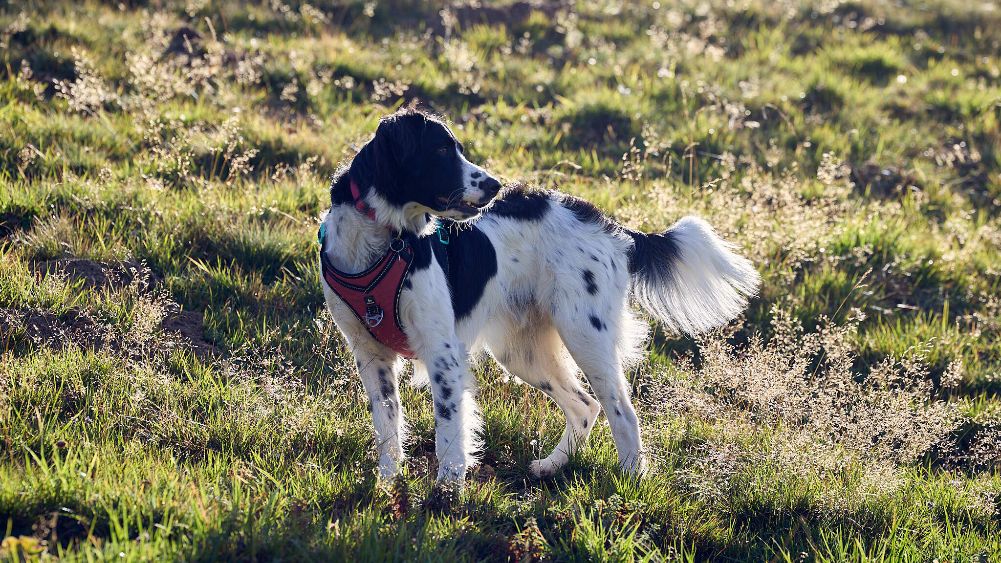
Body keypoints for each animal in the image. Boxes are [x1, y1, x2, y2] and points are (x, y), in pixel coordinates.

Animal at [320, 108, 756, 482]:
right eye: (441, 150)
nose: (494, 185)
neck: (382, 239)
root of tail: (611, 227)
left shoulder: (442, 352)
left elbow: (449, 433)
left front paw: (446, 494)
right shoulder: (372, 356)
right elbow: (387, 429)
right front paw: (388, 485)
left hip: (585, 333)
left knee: (621, 410)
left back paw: (631, 482)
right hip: (521, 350)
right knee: (585, 406)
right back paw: (552, 465)